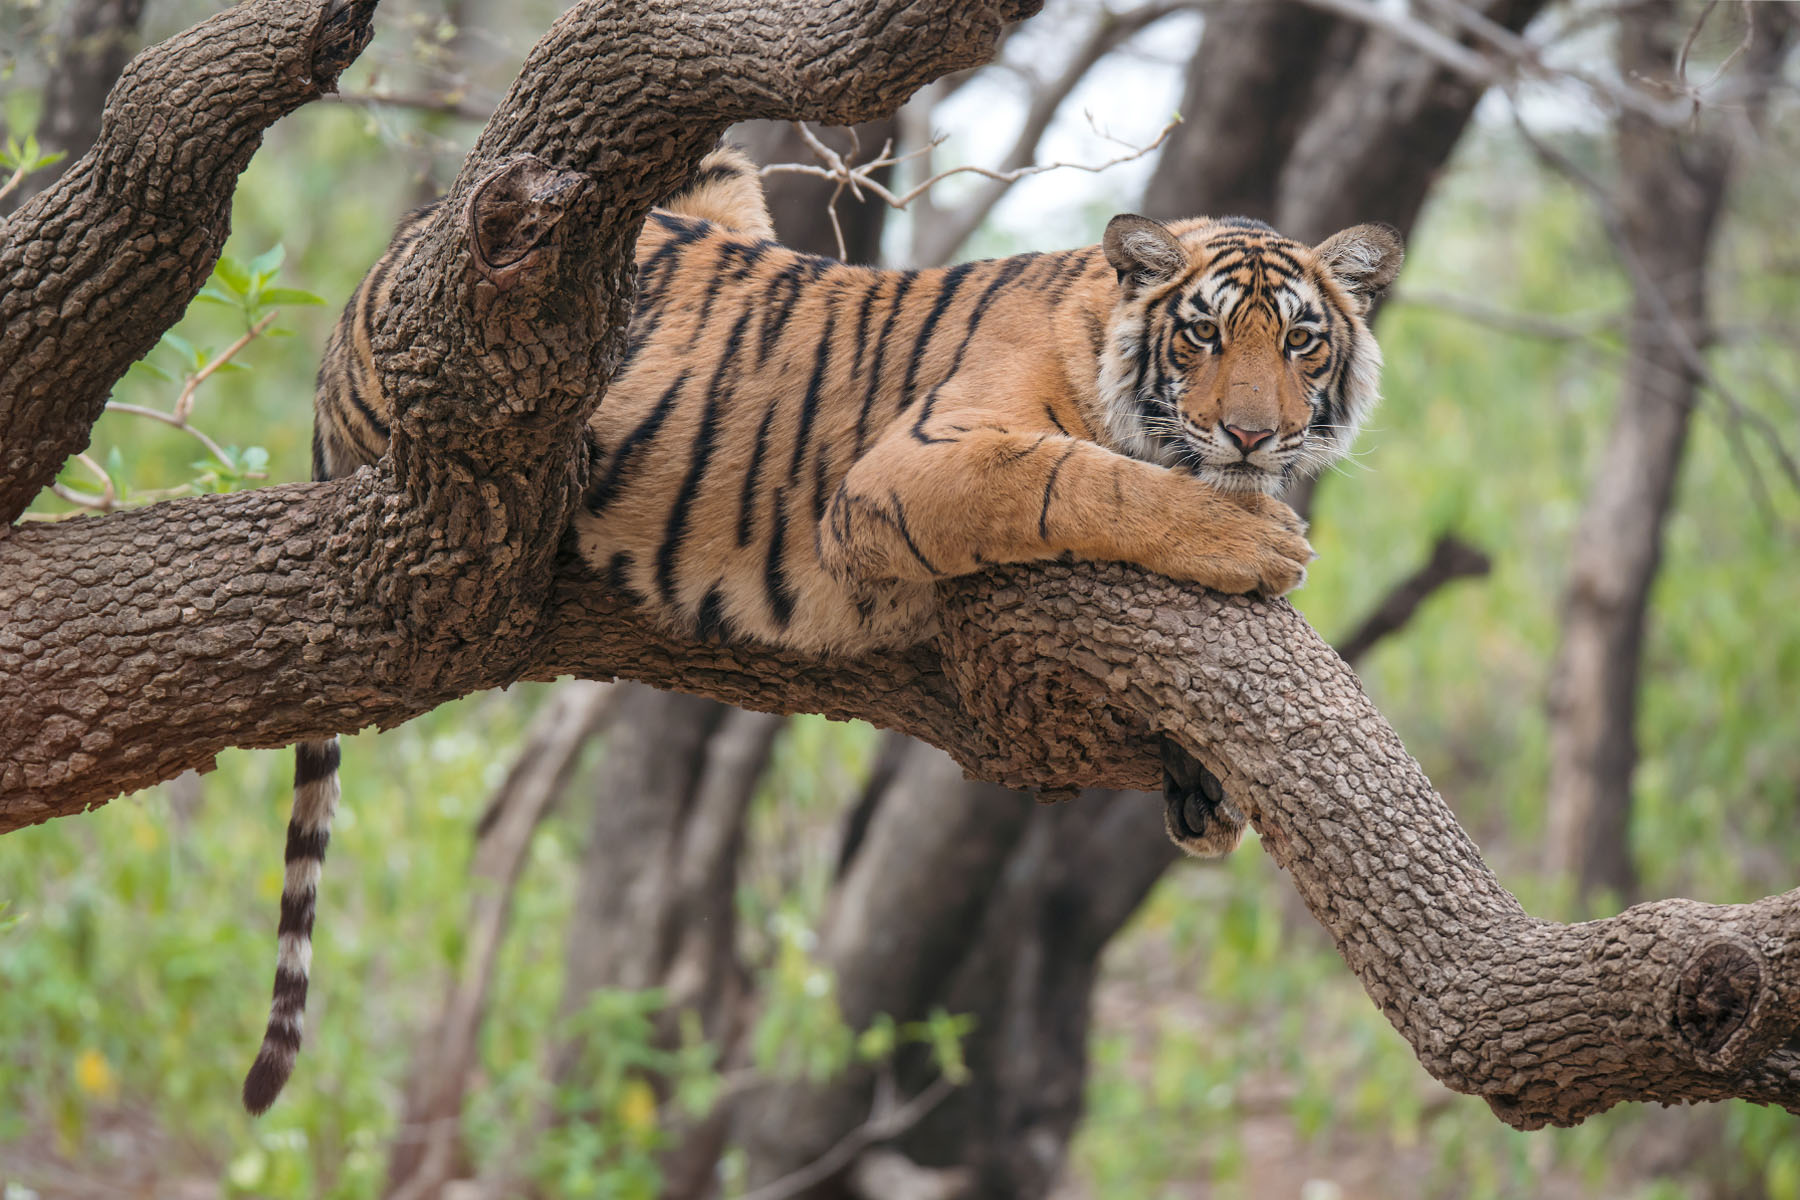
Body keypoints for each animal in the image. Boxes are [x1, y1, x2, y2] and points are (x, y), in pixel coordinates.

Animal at [245, 142, 1401, 1113]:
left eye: (1301, 342)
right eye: (1202, 333)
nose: (1254, 435)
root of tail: (373, 275)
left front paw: (1204, 783)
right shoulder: (914, 467)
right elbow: (1084, 480)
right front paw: (1254, 538)